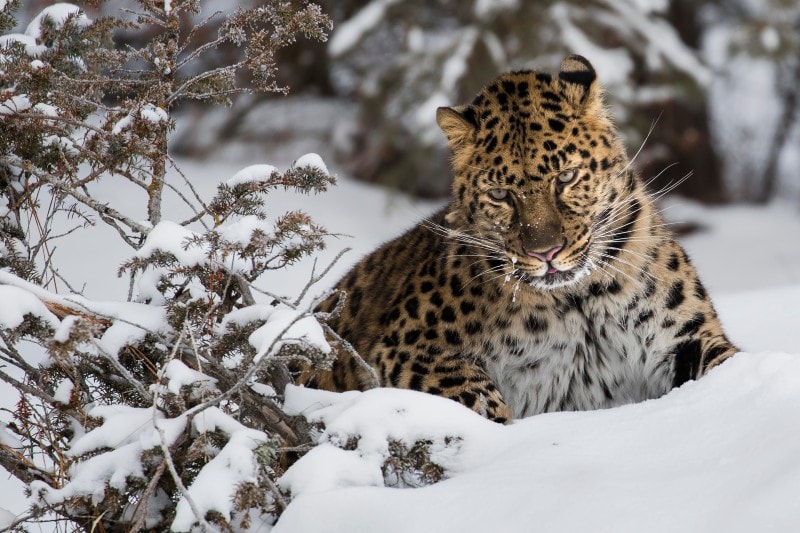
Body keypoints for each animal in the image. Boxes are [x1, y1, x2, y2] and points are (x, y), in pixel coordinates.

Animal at [306, 53, 736, 420]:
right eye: (500, 195)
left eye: (566, 177)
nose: (547, 253)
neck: (580, 302)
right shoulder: (408, 347)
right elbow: (478, 399)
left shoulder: (684, 338)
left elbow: (726, 362)